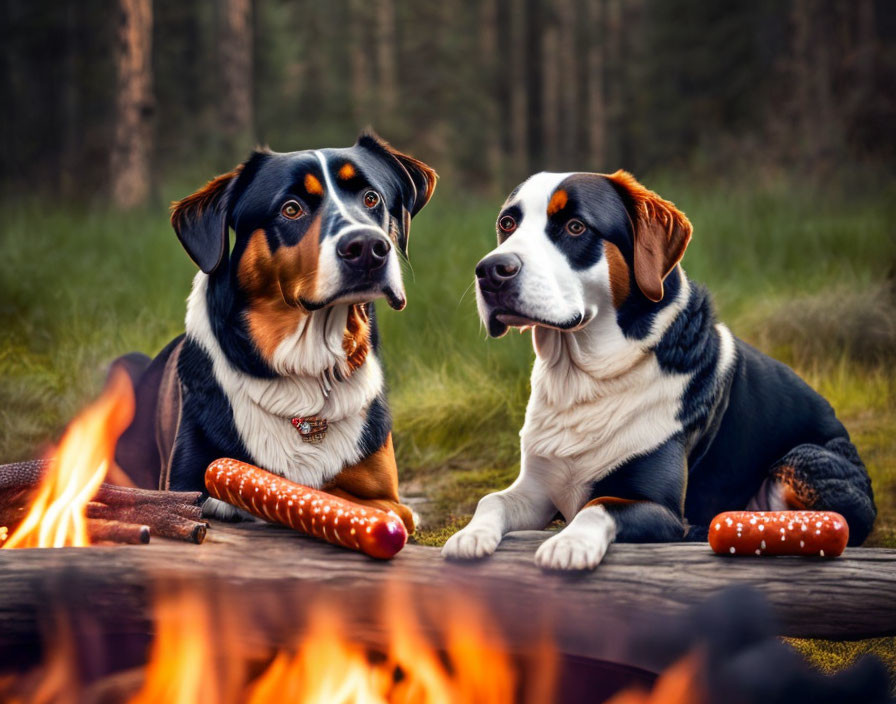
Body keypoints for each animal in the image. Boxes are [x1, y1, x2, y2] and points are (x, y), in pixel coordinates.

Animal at [114, 132, 436, 532]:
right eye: (291, 209)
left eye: (371, 198)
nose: (367, 247)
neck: (309, 369)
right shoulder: (181, 481)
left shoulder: (388, 497)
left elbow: (348, 497)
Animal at [444, 170, 880, 572]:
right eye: (507, 224)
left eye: (575, 226)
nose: (490, 270)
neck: (581, 377)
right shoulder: (536, 489)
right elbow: (492, 500)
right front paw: (470, 536)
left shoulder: (661, 508)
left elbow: (598, 505)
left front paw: (569, 544)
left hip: (802, 459)